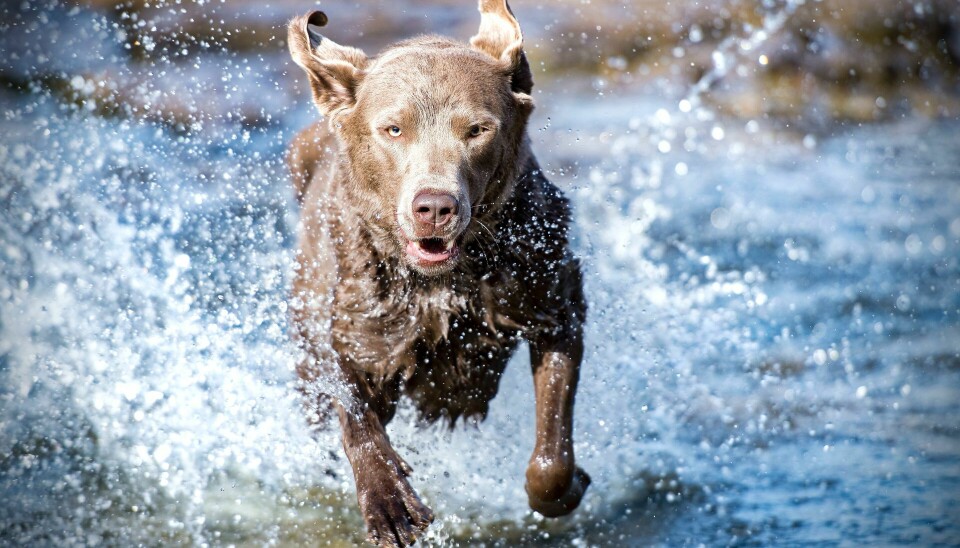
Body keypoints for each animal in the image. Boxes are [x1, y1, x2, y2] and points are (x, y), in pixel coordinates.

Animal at [284, 2, 588, 544]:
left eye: (477, 130)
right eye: (393, 129)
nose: (434, 207)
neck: (442, 283)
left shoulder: (554, 300)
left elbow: (551, 454)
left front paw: (568, 485)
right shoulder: (355, 322)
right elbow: (355, 410)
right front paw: (389, 503)